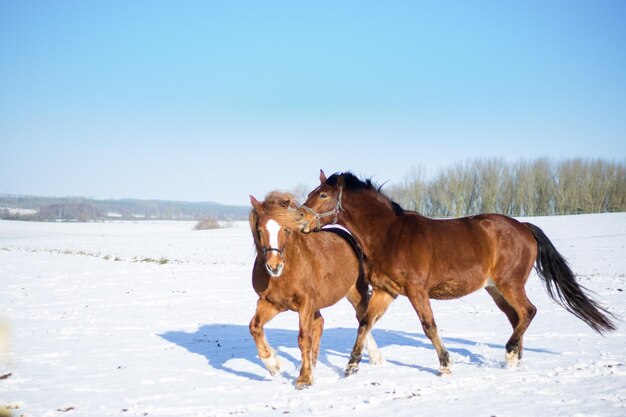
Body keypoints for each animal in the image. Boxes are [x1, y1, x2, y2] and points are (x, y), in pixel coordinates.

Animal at [247, 190, 380, 388]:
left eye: (285, 230)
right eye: (261, 230)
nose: (274, 266)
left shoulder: (305, 303)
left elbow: (304, 339)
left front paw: (304, 378)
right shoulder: (270, 303)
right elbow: (254, 327)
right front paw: (273, 365)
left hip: (356, 293)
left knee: (363, 318)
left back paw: (373, 358)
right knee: (321, 324)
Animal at [294, 171, 616, 376]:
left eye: (323, 194)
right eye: (311, 193)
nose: (299, 221)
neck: (388, 235)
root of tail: (523, 226)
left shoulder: (416, 291)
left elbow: (429, 326)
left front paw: (445, 365)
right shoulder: (387, 291)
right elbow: (364, 323)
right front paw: (351, 367)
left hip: (510, 284)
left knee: (529, 311)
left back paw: (510, 352)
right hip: (495, 289)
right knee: (517, 317)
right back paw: (514, 360)